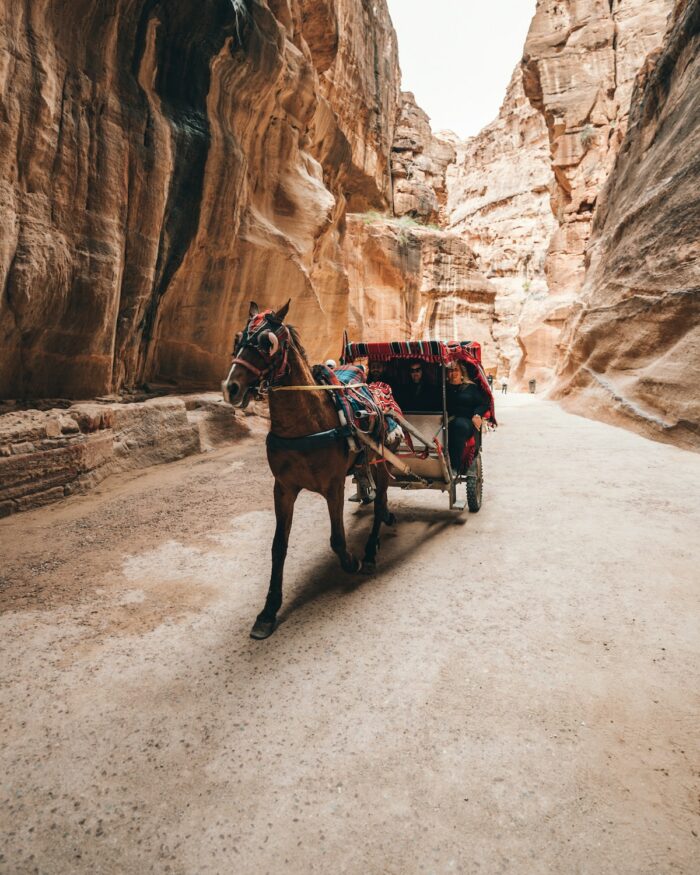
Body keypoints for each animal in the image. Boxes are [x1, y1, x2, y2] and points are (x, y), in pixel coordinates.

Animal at [223, 300, 394, 639]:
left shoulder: (333, 486)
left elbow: (337, 540)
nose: (231, 388)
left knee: (381, 500)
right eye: (237, 339)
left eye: (267, 343)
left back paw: (370, 551)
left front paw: (352, 563)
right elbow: (278, 546)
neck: (306, 424)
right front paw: (268, 610)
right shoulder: (283, 488)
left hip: (380, 461)